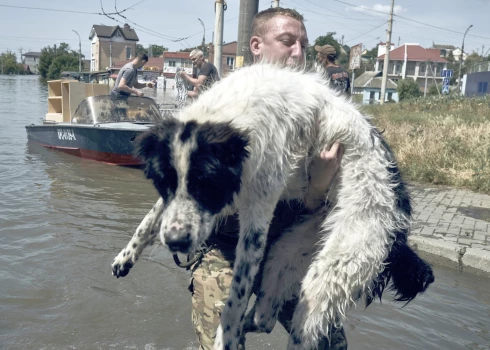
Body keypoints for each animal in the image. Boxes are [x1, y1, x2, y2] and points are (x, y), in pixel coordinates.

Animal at [111, 64, 432, 348]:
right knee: (265, 316)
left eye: (207, 185)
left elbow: (237, 294)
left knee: (302, 329)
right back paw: (250, 321)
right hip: (286, 253)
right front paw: (126, 257)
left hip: (335, 269)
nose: (176, 242)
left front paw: (225, 336)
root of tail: (399, 227)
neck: (229, 115)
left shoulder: (258, 212)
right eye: (163, 183)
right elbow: (151, 218)